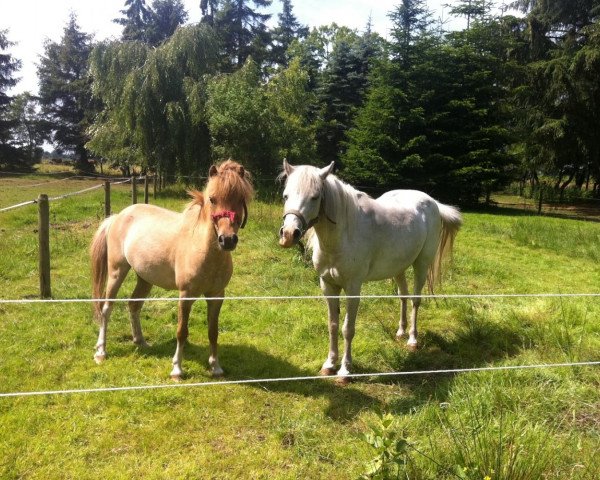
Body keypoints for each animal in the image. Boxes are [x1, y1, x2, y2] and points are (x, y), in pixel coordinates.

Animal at [90, 160, 254, 378]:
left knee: (133, 305)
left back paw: (141, 341)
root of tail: (118, 216)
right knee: (106, 309)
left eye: (241, 199)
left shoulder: (217, 296)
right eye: (212, 199)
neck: (202, 249)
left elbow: (213, 331)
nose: (227, 240)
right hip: (117, 272)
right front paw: (177, 369)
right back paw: (101, 352)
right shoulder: (185, 296)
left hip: (145, 278)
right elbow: (182, 331)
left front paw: (216, 367)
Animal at [278, 161, 462, 382]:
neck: (343, 236)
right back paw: (400, 332)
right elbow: (332, 325)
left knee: (415, 300)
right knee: (403, 295)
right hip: (398, 267)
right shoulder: (328, 285)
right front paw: (329, 365)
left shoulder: (353, 288)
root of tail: (432, 202)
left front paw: (345, 371)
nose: (289, 234)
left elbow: (347, 329)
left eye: (314, 197)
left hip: (422, 264)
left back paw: (412, 340)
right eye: (285, 196)